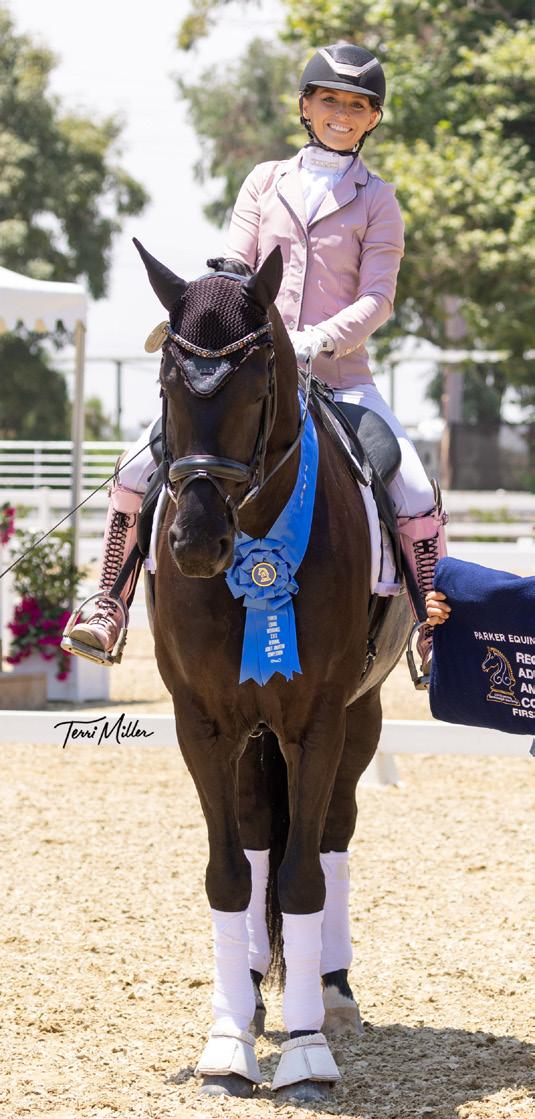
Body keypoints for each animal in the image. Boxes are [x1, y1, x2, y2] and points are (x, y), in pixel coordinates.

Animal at [134, 239, 411, 1100]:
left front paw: (306, 1053)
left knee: (330, 836)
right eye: (166, 383)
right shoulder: (202, 721)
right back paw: (255, 986)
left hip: (359, 717)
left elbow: (303, 879)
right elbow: (231, 875)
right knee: (261, 833)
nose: (196, 542)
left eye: (258, 385)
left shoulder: (317, 720)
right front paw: (228, 1043)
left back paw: (330, 994)